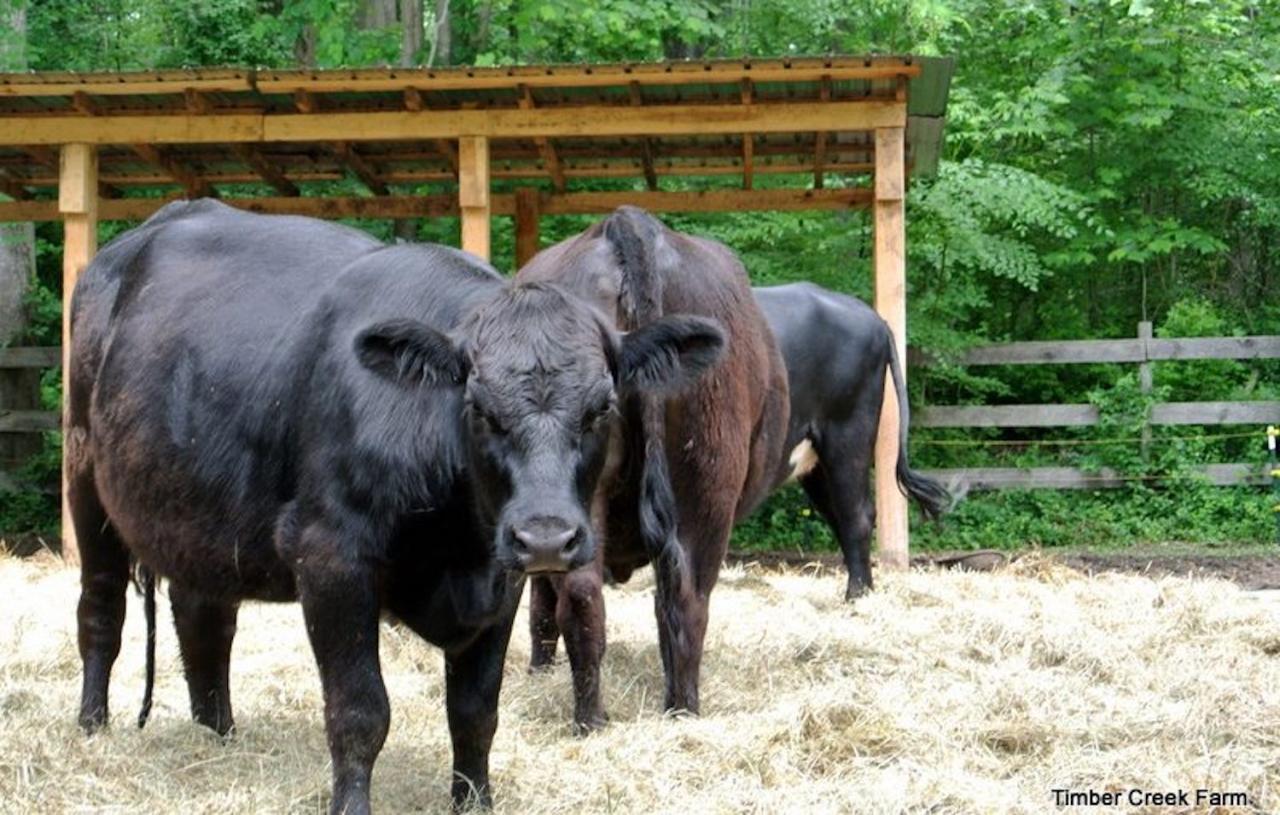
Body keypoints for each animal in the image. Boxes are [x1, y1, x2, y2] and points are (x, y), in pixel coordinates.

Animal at [66, 199, 725, 814]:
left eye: (601, 407)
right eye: (479, 407)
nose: (545, 537)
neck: (456, 543)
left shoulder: (501, 577)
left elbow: (475, 711)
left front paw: (474, 801)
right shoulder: (331, 557)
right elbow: (359, 711)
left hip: (199, 514)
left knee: (204, 618)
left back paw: (218, 735)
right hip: (85, 479)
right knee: (102, 610)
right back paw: (91, 728)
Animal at [516, 206, 791, 732]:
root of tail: (626, 226)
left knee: (603, 599)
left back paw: (608, 718)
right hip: (706, 489)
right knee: (677, 600)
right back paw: (669, 711)